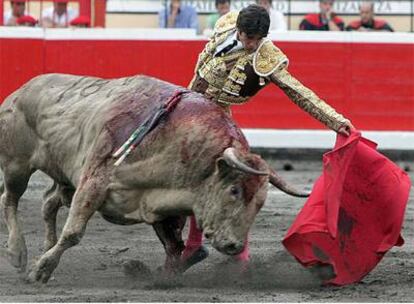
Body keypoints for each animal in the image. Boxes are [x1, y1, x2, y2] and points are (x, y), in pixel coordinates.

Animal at [0, 75, 308, 284]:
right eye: (233, 190)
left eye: (261, 202)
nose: (234, 245)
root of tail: (21, 90)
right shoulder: (93, 181)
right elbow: (73, 233)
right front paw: (40, 271)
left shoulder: (160, 204)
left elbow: (175, 247)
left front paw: (164, 276)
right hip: (18, 164)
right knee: (10, 198)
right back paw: (18, 253)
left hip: (64, 178)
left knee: (47, 202)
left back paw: (42, 246)